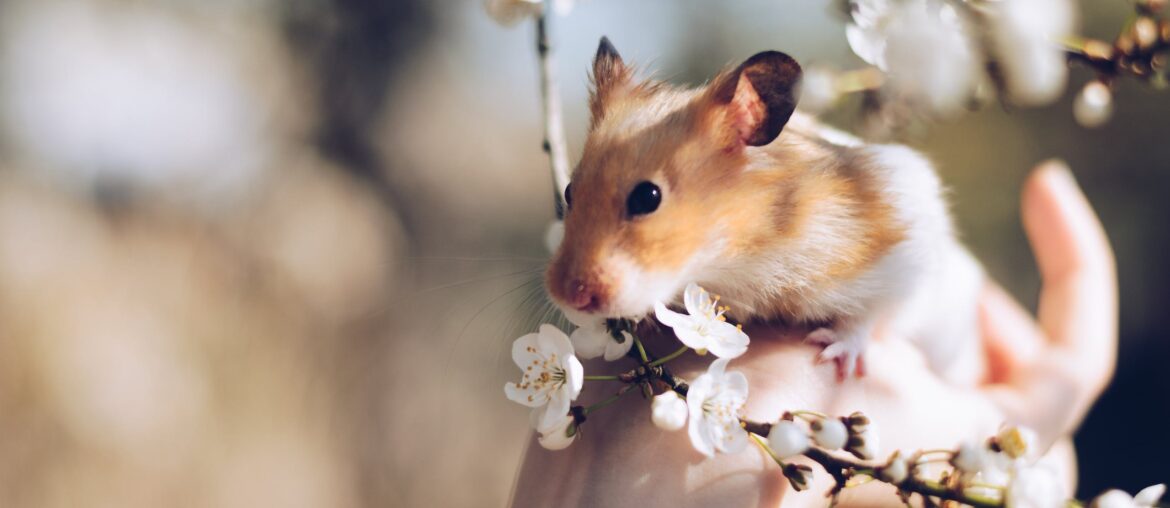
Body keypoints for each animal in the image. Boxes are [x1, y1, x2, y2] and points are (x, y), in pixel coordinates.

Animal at [542, 36, 982, 383]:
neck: (739, 254)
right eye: (569, 191)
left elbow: (871, 314)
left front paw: (832, 354)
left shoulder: (906, 246)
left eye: (647, 197)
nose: (567, 295)